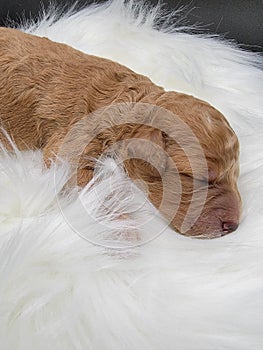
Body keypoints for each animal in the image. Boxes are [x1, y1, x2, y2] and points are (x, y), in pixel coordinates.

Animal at [0, 27, 242, 238]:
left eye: (235, 175)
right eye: (202, 179)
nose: (234, 225)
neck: (131, 103)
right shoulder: (73, 141)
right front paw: (122, 230)